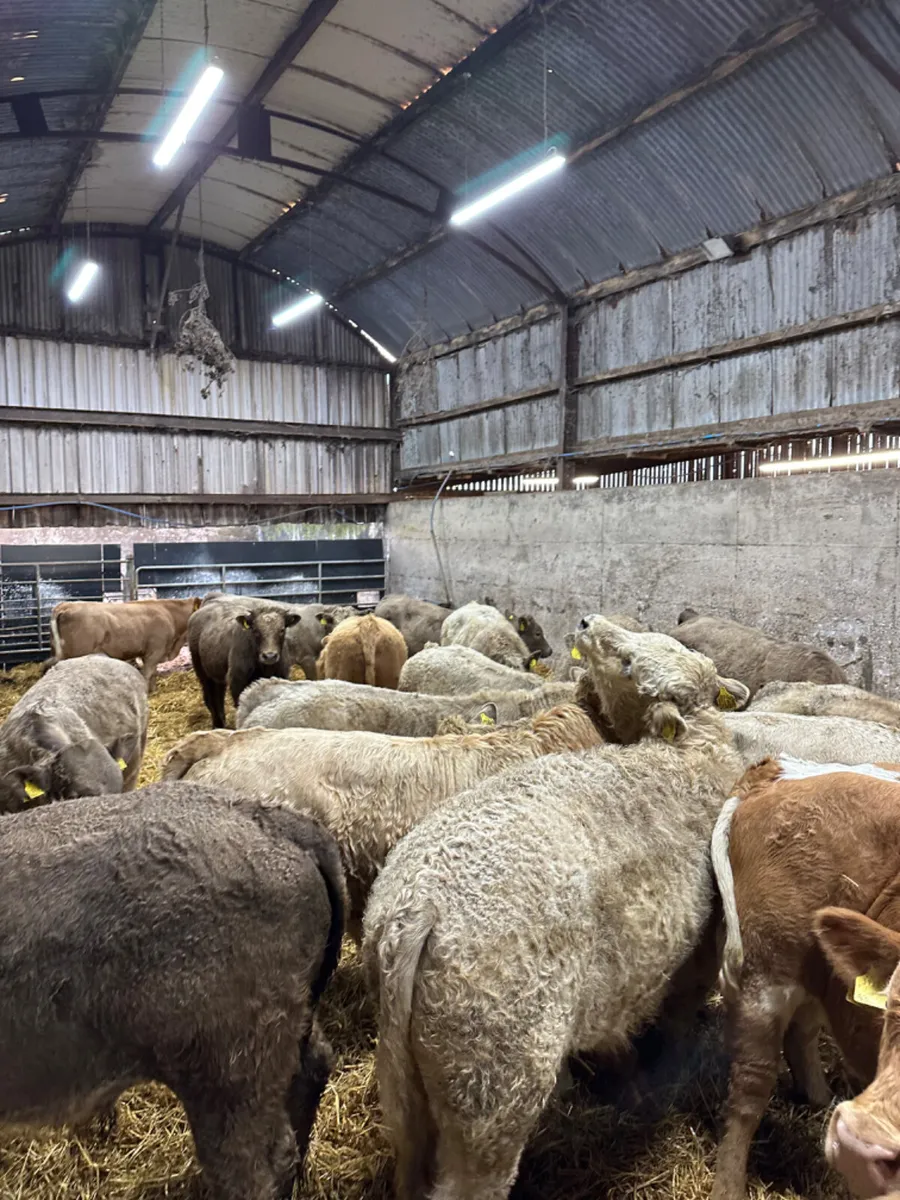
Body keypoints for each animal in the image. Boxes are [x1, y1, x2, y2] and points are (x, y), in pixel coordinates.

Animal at [362, 617, 749, 1200]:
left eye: (630, 663)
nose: (588, 623)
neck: (692, 751)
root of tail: (415, 908)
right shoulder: (696, 958)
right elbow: (678, 1022)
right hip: (494, 1078)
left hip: (404, 1077)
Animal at [709, 758, 900, 1200]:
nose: (859, 1145)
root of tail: (777, 767)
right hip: (765, 971)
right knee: (751, 1086)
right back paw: (728, 1186)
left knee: (803, 1033)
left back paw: (819, 1099)